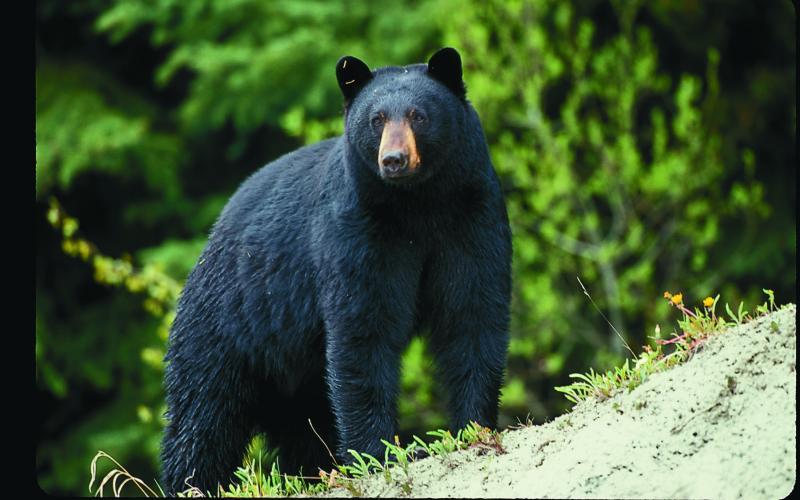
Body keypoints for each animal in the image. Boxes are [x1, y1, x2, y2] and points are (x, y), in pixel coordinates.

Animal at [159, 47, 511, 495]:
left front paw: (474, 427)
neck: (418, 203)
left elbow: (472, 311)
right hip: (228, 326)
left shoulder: (471, 217)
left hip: (293, 372)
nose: (393, 160)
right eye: (376, 119)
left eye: (419, 115)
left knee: (303, 424)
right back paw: (190, 482)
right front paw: (382, 454)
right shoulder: (357, 231)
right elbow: (363, 330)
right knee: (203, 413)